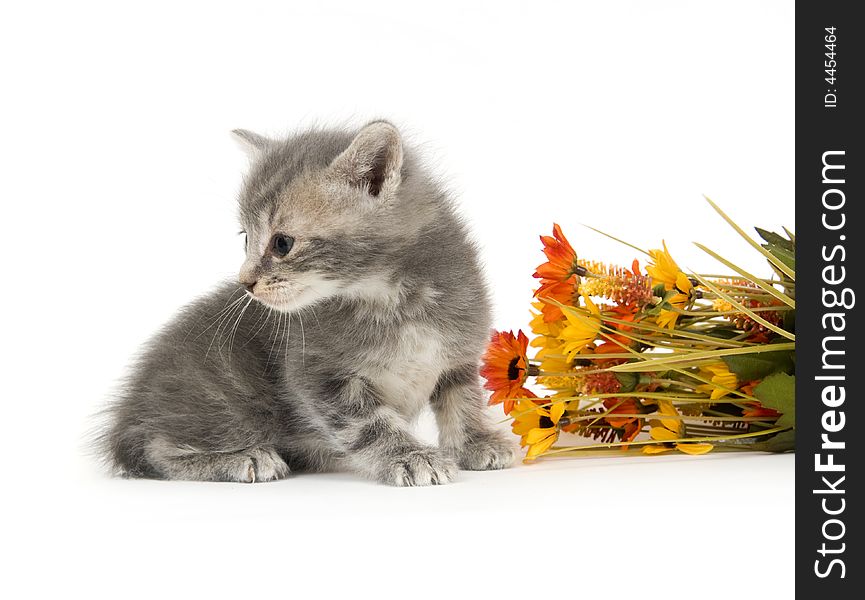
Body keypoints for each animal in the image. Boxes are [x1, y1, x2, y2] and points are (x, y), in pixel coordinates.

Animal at [103, 122, 520, 488]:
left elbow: (462, 401)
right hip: (230, 405)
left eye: (282, 243)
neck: (393, 299)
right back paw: (243, 457)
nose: (245, 283)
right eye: (245, 238)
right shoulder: (319, 375)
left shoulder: (458, 353)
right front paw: (410, 456)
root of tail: (129, 414)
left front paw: (476, 443)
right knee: (156, 449)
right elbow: (369, 425)